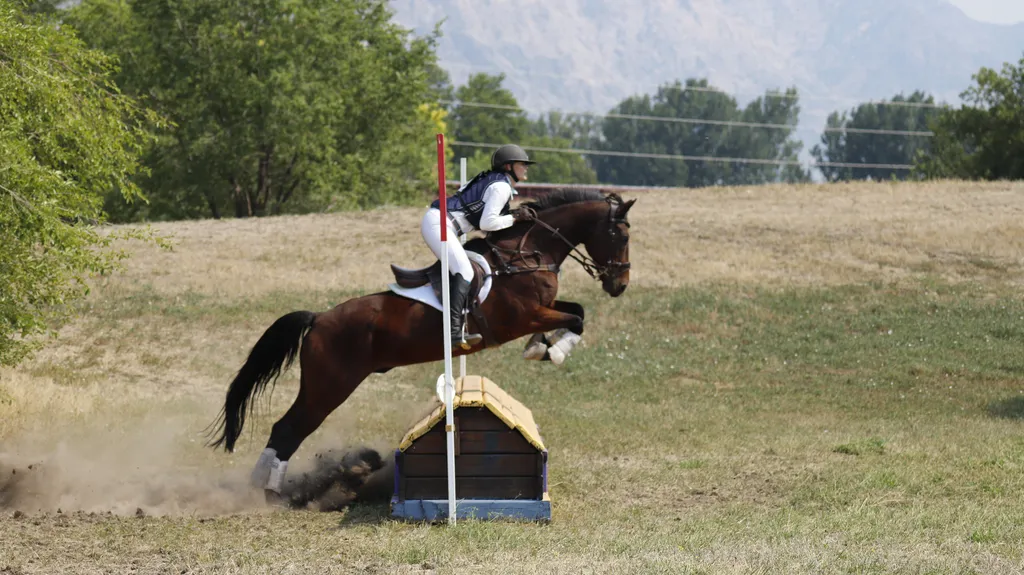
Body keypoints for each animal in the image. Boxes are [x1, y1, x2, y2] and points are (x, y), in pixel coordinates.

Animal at [206, 189, 635, 502]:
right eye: (620, 235)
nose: (619, 285)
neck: (526, 254)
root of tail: (319, 318)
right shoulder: (524, 316)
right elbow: (575, 319)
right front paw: (549, 350)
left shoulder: (544, 309)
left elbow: (576, 312)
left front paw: (544, 347)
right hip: (329, 387)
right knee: (287, 430)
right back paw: (271, 493)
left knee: (287, 430)